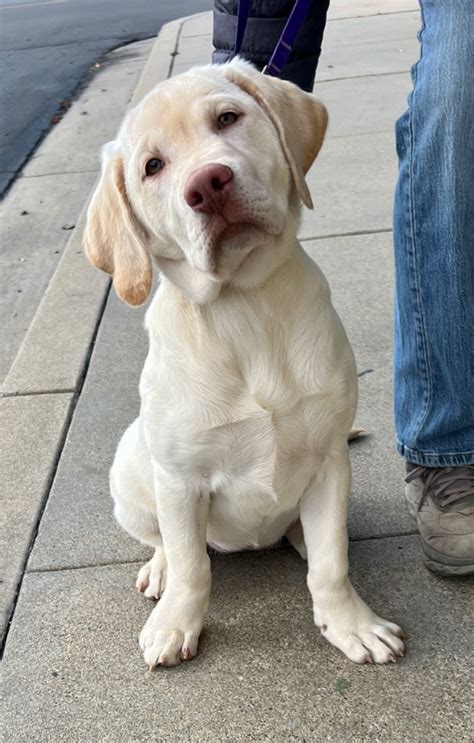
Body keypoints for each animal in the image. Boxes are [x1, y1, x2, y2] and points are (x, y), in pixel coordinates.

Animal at [84, 61, 404, 672]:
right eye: (152, 167)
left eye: (227, 118)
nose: (207, 184)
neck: (243, 308)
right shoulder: (180, 479)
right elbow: (193, 566)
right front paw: (176, 625)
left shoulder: (329, 461)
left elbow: (331, 562)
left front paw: (350, 623)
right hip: (131, 479)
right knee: (166, 542)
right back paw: (159, 570)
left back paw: (300, 536)